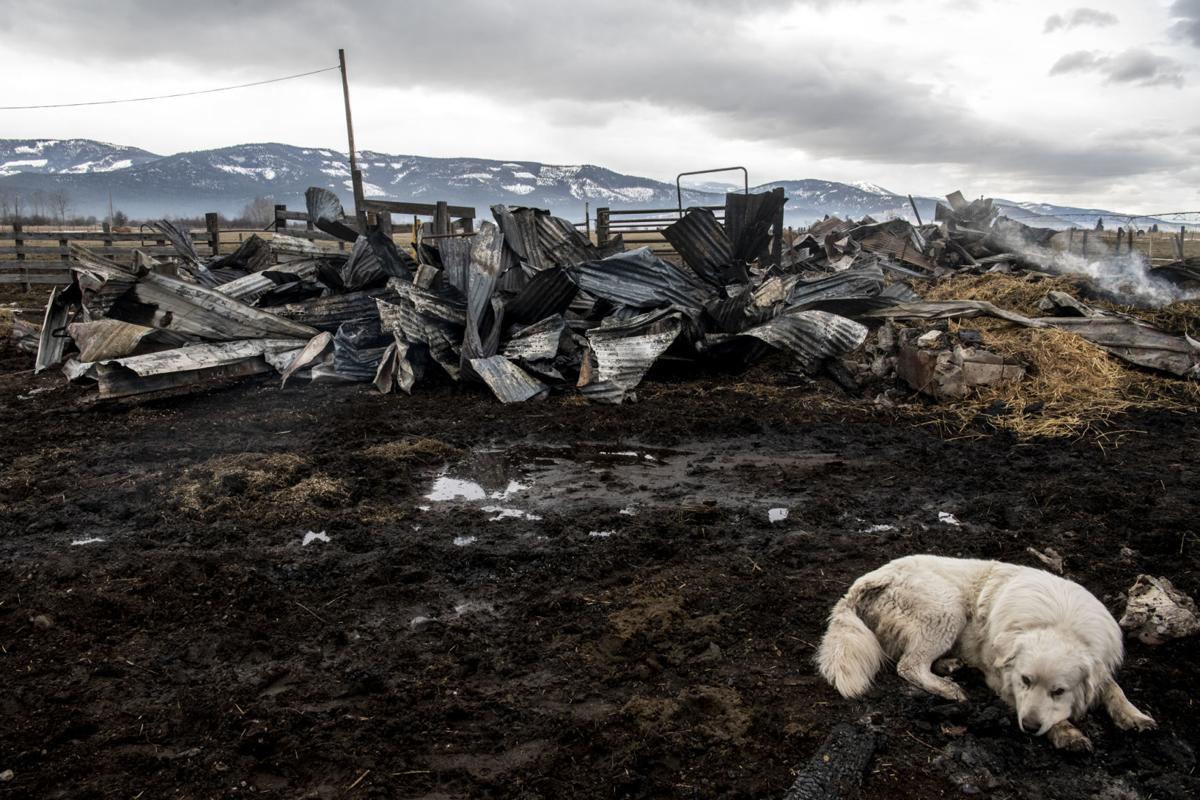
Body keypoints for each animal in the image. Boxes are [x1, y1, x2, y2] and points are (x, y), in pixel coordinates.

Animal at [816, 556, 1152, 753]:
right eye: (1025, 680)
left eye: (1059, 690)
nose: (1029, 727)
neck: (1058, 624)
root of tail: (863, 583)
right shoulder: (1005, 679)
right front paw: (1067, 733)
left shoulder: (1100, 662)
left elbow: (1113, 689)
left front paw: (1134, 716)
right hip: (947, 607)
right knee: (909, 665)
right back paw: (948, 689)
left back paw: (950, 666)